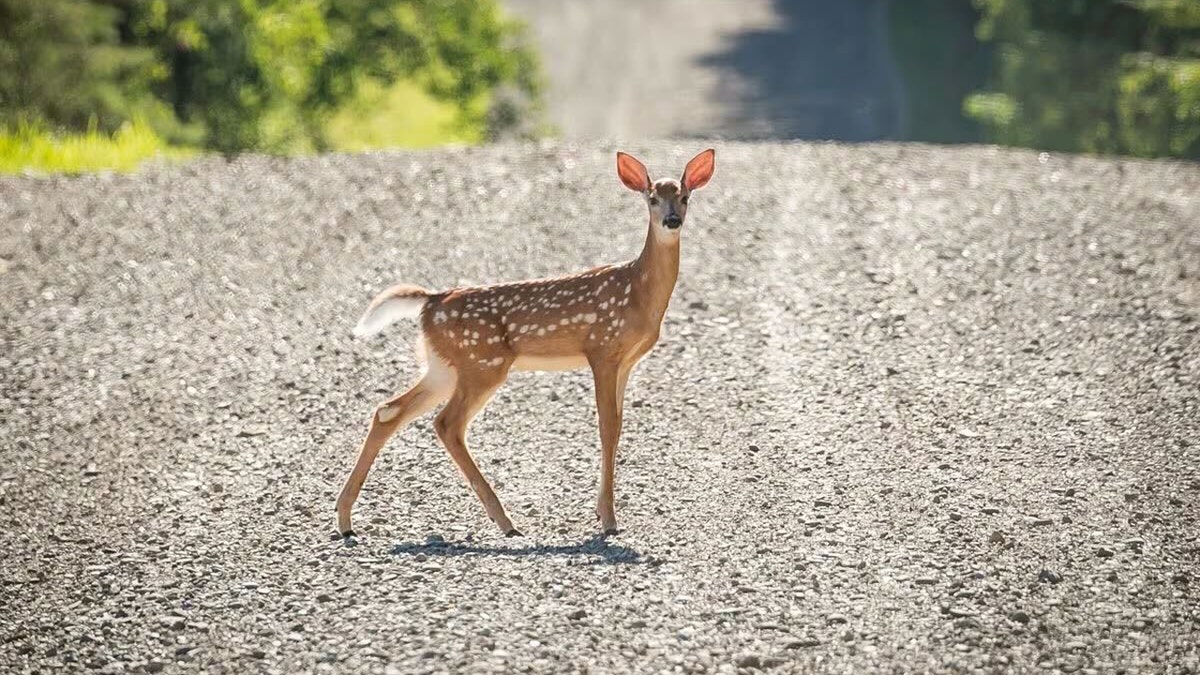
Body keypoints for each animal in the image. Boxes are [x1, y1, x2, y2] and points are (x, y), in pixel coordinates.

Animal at [333, 147, 715, 535]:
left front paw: (601, 511)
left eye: (685, 197)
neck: (638, 292)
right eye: (651, 198)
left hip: (444, 366)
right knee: (447, 424)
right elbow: (607, 428)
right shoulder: (602, 349)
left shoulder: (626, 361)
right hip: (482, 364)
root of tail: (430, 301)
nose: (672, 220)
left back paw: (345, 519)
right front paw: (608, 519)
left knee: (388, 410)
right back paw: (505, 521)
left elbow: (619, 426)